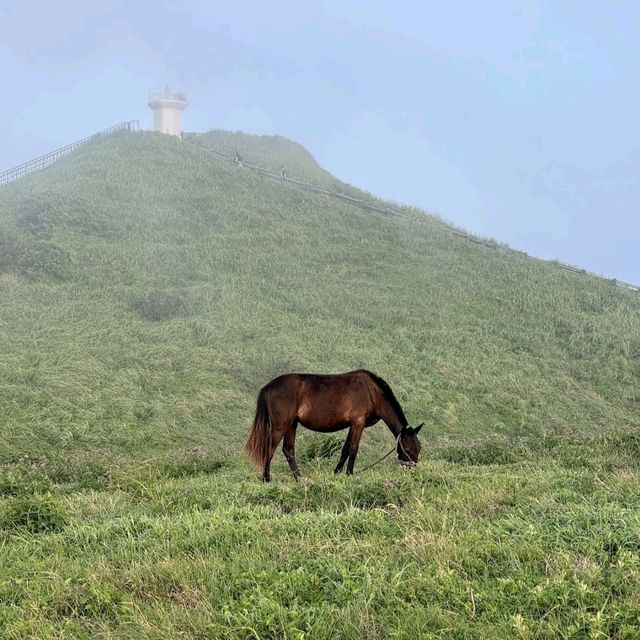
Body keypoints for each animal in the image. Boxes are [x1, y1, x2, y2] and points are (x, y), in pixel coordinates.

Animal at [242, 370, 422, 480]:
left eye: (418, 448)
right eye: (408, 448)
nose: (412, 469)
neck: (372, 392)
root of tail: (267, 387)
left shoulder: (352, 425)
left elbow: (345, 450)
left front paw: (336, 474)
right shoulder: (358, 423)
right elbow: (353, 450)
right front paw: (349, 474)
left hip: (291, 424)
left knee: (288, 450)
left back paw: (299, 479)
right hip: (280, 426)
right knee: (269, 449)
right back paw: (267, 479)